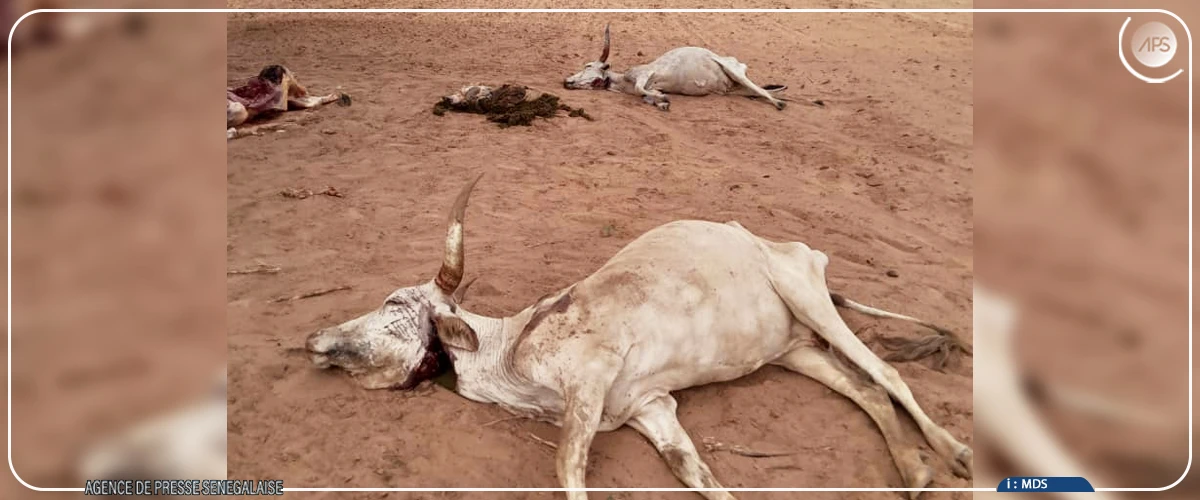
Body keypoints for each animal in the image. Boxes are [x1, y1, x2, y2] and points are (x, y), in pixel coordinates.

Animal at [304, 175, 973, 500]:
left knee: (887, 373)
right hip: (797, 351)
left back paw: (954, 453)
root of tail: (790, 246)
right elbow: (695, 472)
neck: (512, 351)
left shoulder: (591, 381)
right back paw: (914, 472)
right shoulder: (652, 407)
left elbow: (567, 468)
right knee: (867, 391)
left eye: (394, 303)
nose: (314, 339)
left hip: (805, 294)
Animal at [562, 24, 789, 112]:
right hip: (734, 88)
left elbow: (641, 89)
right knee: (756, 90)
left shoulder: (645, 74)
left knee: (757, 88)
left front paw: (662, 99)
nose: (566, 81)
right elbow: (646, 96)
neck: (622, 81)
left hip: (734, 70)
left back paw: (778, 103)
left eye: (588, 65)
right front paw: (661, 102)